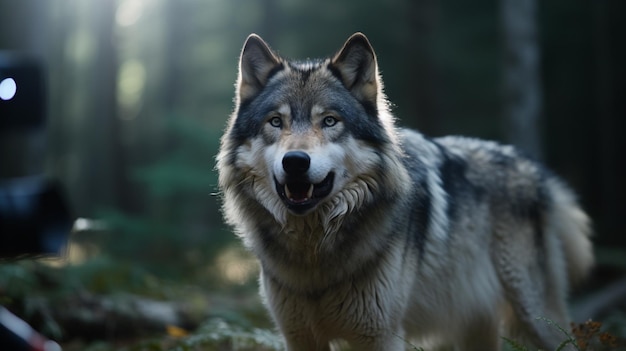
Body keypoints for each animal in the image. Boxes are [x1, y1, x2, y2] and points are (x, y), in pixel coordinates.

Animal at [217, 31, 592, 350]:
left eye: (329, 121)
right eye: (275, 122)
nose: (295, 161)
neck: (315, 253)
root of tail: (533, 166)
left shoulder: (380, 336)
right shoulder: (299, 337)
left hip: (537, 320)